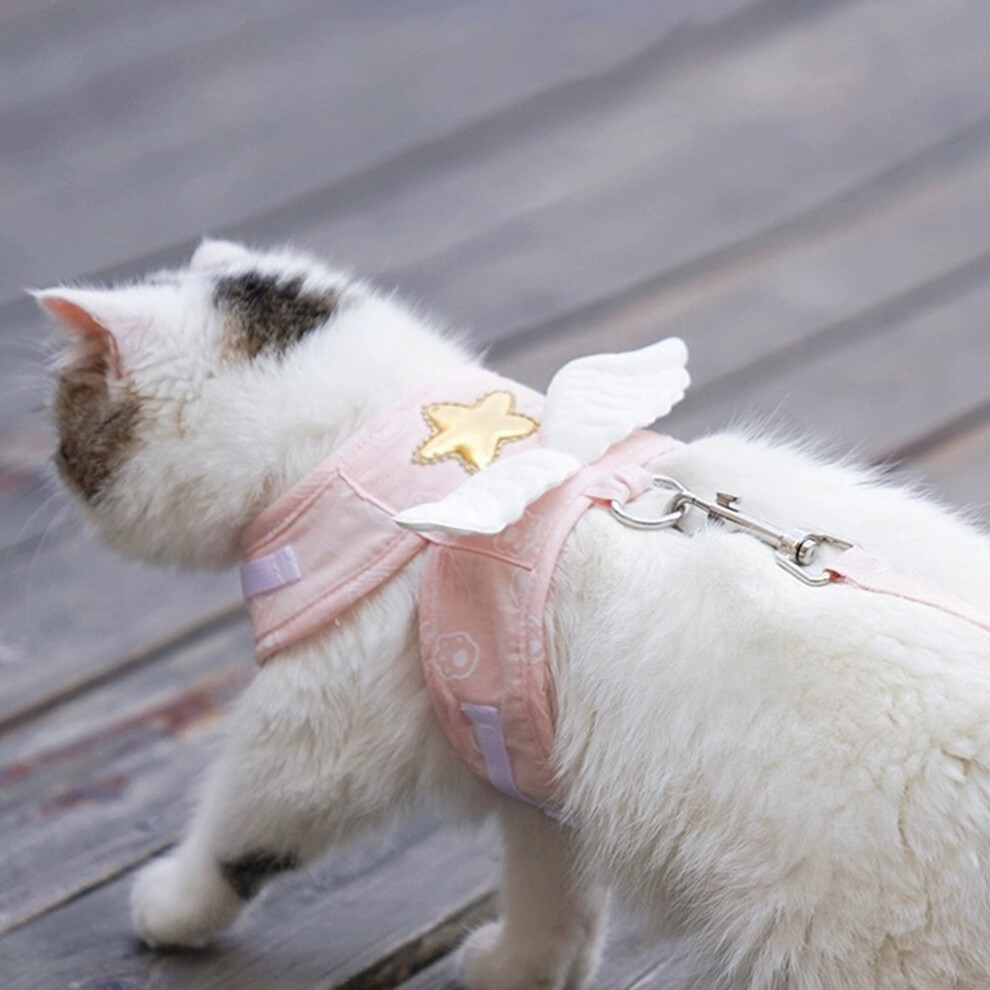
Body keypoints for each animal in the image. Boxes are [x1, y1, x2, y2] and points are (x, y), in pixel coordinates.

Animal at [37, 239, 990, 990]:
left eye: (63, 424)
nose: (49, 466)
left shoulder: (313, 733)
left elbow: (241, 826)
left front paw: (173, 905)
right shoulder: (528, 751)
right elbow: (549, 885)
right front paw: (523, 967)